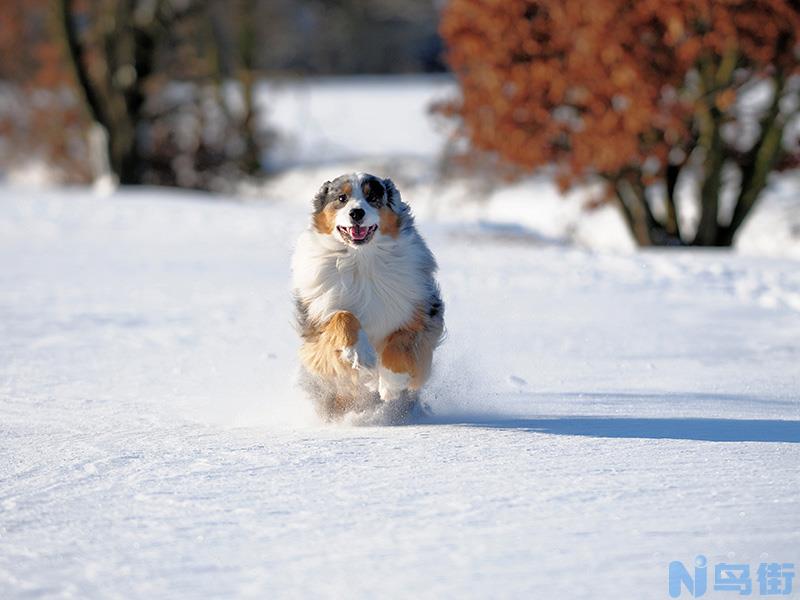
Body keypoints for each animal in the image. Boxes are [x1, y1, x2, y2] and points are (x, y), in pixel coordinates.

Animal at [292, 171, 444, 420]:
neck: (360, 258)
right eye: (341, 198)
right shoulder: (317, 325)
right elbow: (342, 316)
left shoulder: (420, 313)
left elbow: (401, 344)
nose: (356, 213)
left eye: (373, 197)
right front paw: (362, 355)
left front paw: (391, 383)